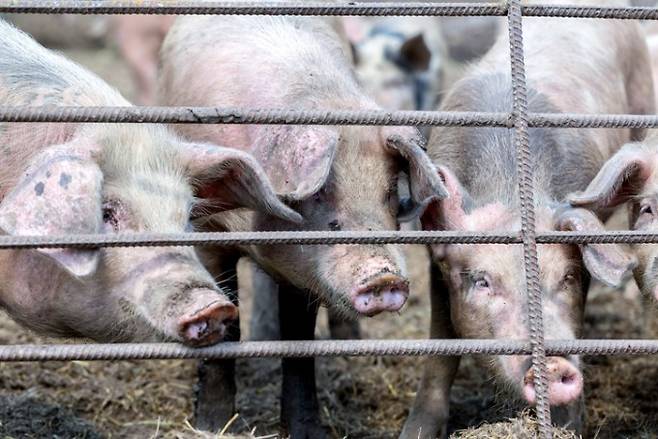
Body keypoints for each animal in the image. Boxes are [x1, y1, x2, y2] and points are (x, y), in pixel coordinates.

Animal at [159, 15, 446, 438]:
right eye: (320, 192)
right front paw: (212, 426)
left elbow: (298, 343)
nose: (383, 276)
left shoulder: (302, 273)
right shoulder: (209, 231)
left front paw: (306, 431)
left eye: (390, 191)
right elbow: (224, 327)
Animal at [400, 1, 652, 438]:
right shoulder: (437, 262)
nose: (552, 365)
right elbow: (441, 347)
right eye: (482, 282)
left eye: (567, 278)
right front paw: (415, 431)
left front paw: (567, 425)